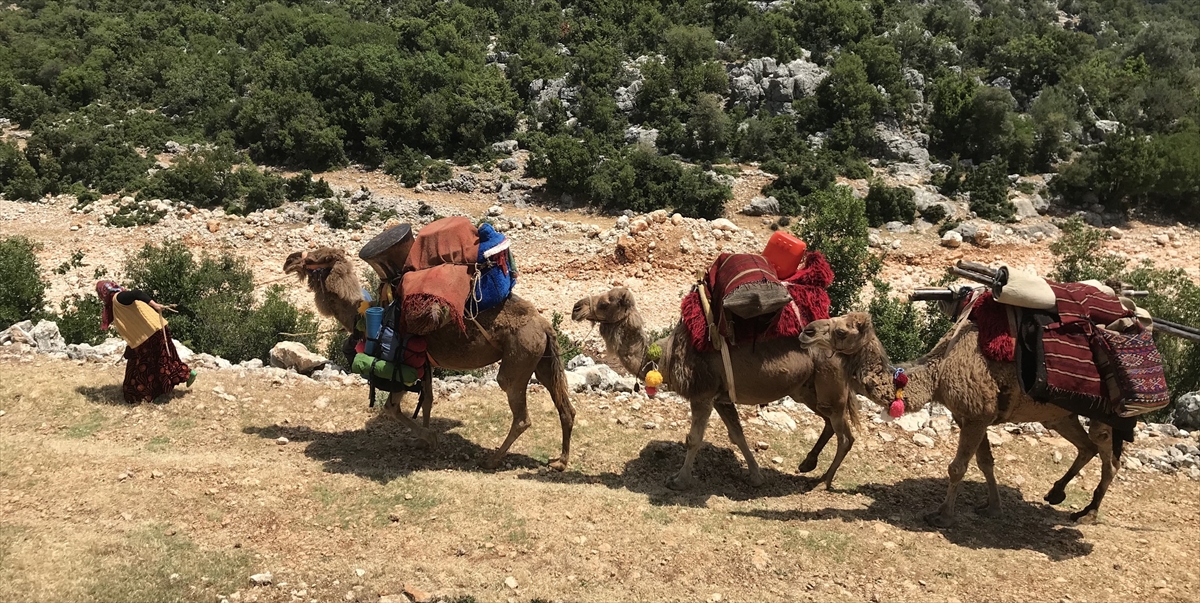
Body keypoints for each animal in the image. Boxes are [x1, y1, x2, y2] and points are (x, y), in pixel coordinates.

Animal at [285, 246, 576, 470]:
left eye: (314, 259)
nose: (289, 261)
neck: (364, 317)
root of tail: (544, 325)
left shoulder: (401, 363)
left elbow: (391, 408)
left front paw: (430, 438)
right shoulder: (424, 363)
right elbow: (428, 400)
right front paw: (423, 441)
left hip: (519, 357)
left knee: (520, 411)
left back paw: (492, 460)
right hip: (541, 361)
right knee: (565, 407)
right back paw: (560, 461)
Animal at [571, 287, 864, 490]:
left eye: (605, 302)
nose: (576, 307)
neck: (667, 357)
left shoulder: (702, 393)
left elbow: (694, 439)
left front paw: (678, 480)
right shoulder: (721, 398)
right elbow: (737, 435)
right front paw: (756, 477)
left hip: (829, 389)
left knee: (846, 436)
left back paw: (824, 481)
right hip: (807, 391)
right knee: (830, 423)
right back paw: (807, 464)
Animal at [801, 312, 1118, 526]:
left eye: (842, 331)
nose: (807, 330)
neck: (938, 374)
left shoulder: (977, 415)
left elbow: (957, 467)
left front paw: (942, 515)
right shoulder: (971, 416)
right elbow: (985, 462)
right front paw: (993, 507)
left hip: (1107, 413)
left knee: (1108, 455)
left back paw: (1088, 513)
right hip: (1060, 415)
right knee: (1087, 447)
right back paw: (1056, 494)